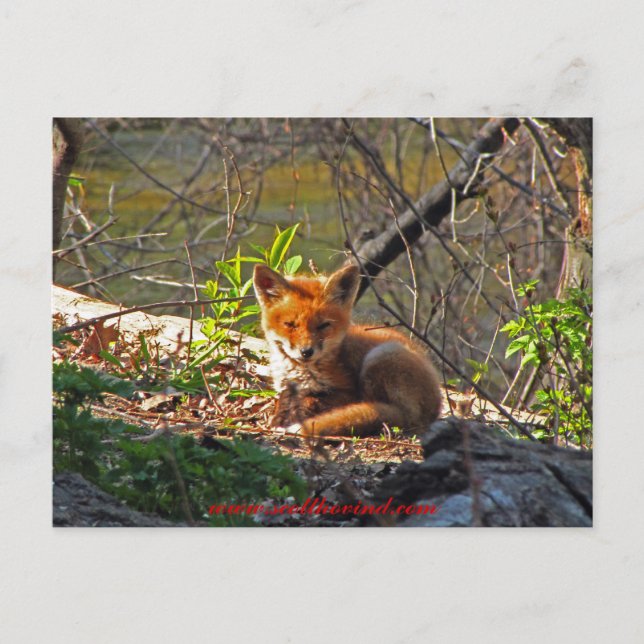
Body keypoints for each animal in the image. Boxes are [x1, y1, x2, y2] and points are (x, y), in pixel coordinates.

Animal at [253, 263, 442, 438]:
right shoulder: (287, 389)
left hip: (381, 356)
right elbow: (284, 400)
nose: (306, 352)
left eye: (323, 325)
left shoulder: (347, 392)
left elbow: (314, 400)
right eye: (290, 324)